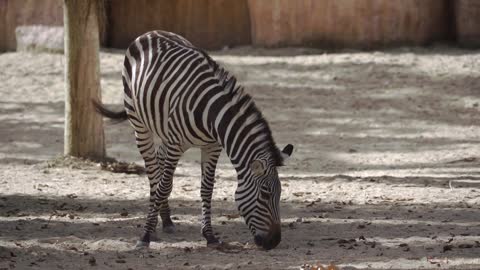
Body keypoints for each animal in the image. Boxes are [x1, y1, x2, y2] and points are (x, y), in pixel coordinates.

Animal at [94, 30, 292, 250]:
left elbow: (207, 189)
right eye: (265, 194)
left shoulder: (212, 147)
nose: (274, 242)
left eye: (281, 193)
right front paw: (145, 236)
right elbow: (164, 186)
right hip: (140, 124)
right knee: (154, 175)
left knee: (160, 163)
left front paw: (209, 235)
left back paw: (167, 220)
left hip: (165, 130)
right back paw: (154, 225)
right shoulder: (176, 144)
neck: (212, 115)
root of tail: (151, 32)